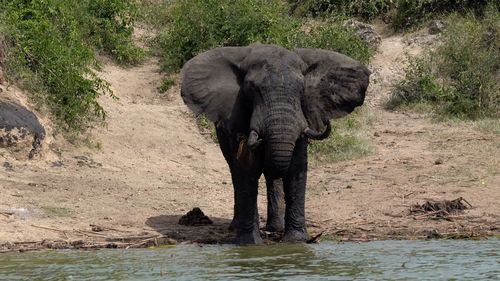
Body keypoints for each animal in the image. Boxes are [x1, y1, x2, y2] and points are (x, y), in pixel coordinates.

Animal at [180, 43, 368, 243]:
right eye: (251, 89)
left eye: (302, 90)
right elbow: (246, 169)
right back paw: (238, 227)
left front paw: (296, 241)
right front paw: (250, 243)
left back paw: (275, 228)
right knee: (235, 172)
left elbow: (296, 168)